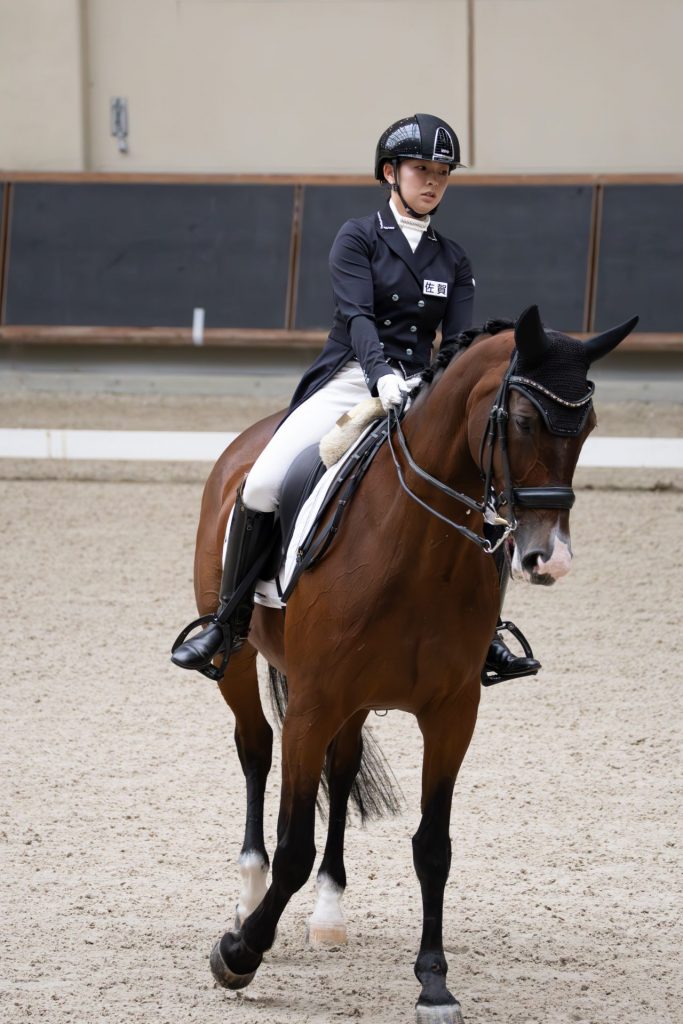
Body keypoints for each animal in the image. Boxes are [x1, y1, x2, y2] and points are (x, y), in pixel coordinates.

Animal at [185, 305, 634, 1024]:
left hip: (354, 701)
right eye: (522, 420)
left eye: (588, 426)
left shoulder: (451, 713)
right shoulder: (313, 702)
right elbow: (293, 846)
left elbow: (433, 848)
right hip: (240, 660)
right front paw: (239, 953)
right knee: (255, 748)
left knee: (341, 774)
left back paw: (328, 913)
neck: (417, 549)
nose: (550, 559)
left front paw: (433, 982)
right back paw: (249, 894)